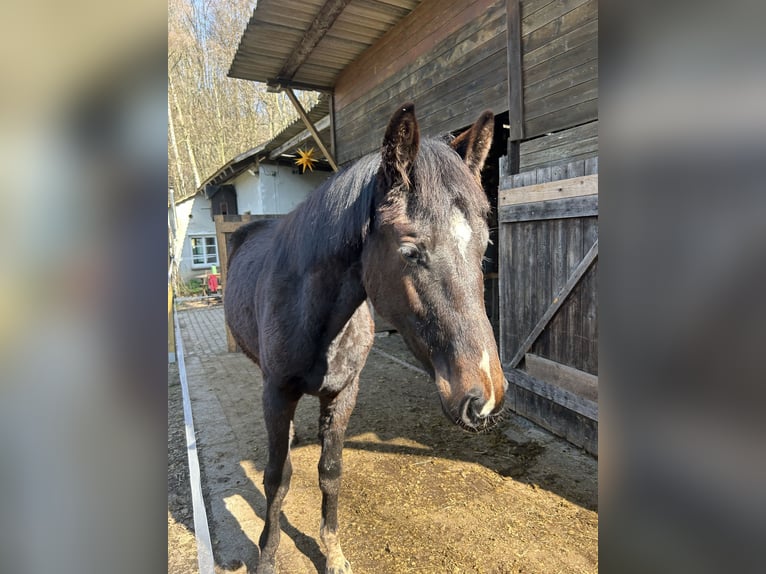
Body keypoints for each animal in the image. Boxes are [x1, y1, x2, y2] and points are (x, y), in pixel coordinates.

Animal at [224, 103, 507, 574]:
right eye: (410, 251)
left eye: (485, 246)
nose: (484, 398)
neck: (318, 318)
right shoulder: (277, 393)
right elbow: (276, 479)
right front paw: (266, 556)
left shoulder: (343, 393)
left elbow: (330, 472)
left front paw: (333, 552)